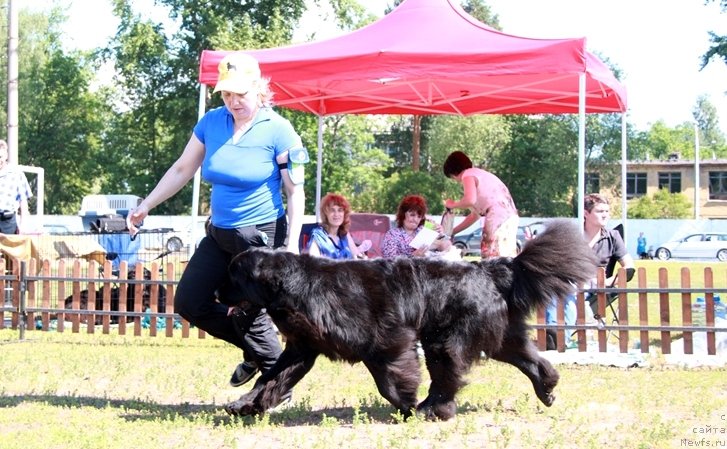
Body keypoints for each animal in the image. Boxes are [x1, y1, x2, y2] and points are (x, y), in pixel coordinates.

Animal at [223, 220, 596, 420]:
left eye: (233, 276)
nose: (215, 292)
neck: (298, 285)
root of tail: (488, 268)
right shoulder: (302, 348)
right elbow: (271, 378)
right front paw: (244, 405)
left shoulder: (386, 340)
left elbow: (388, 379)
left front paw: (405, 401)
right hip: (499, 336)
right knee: (531, 359)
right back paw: (547, 389)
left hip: (446, 340)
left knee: (448, 376)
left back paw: (431, 409)